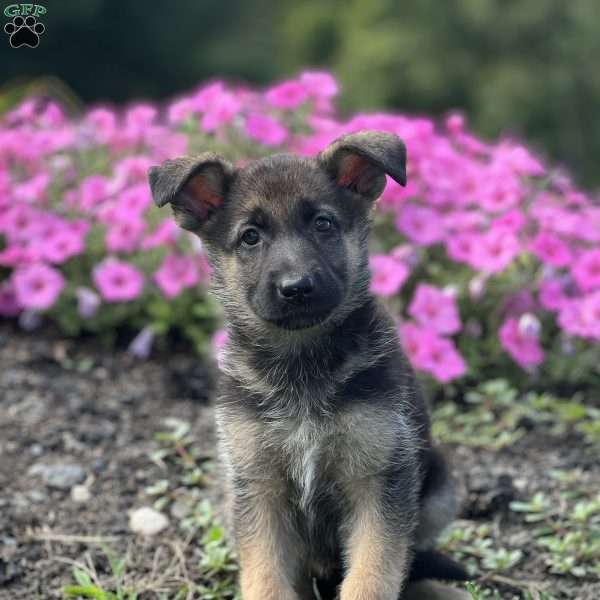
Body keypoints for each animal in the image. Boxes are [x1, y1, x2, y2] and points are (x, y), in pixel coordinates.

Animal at [150, 132, 468, 600]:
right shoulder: (257, 486)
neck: (302, 363)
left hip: (441, 484)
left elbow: (374, 572)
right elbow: (265, 575)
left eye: (323, 224)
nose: (296, 287)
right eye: (250, 237)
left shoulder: (380, 480)